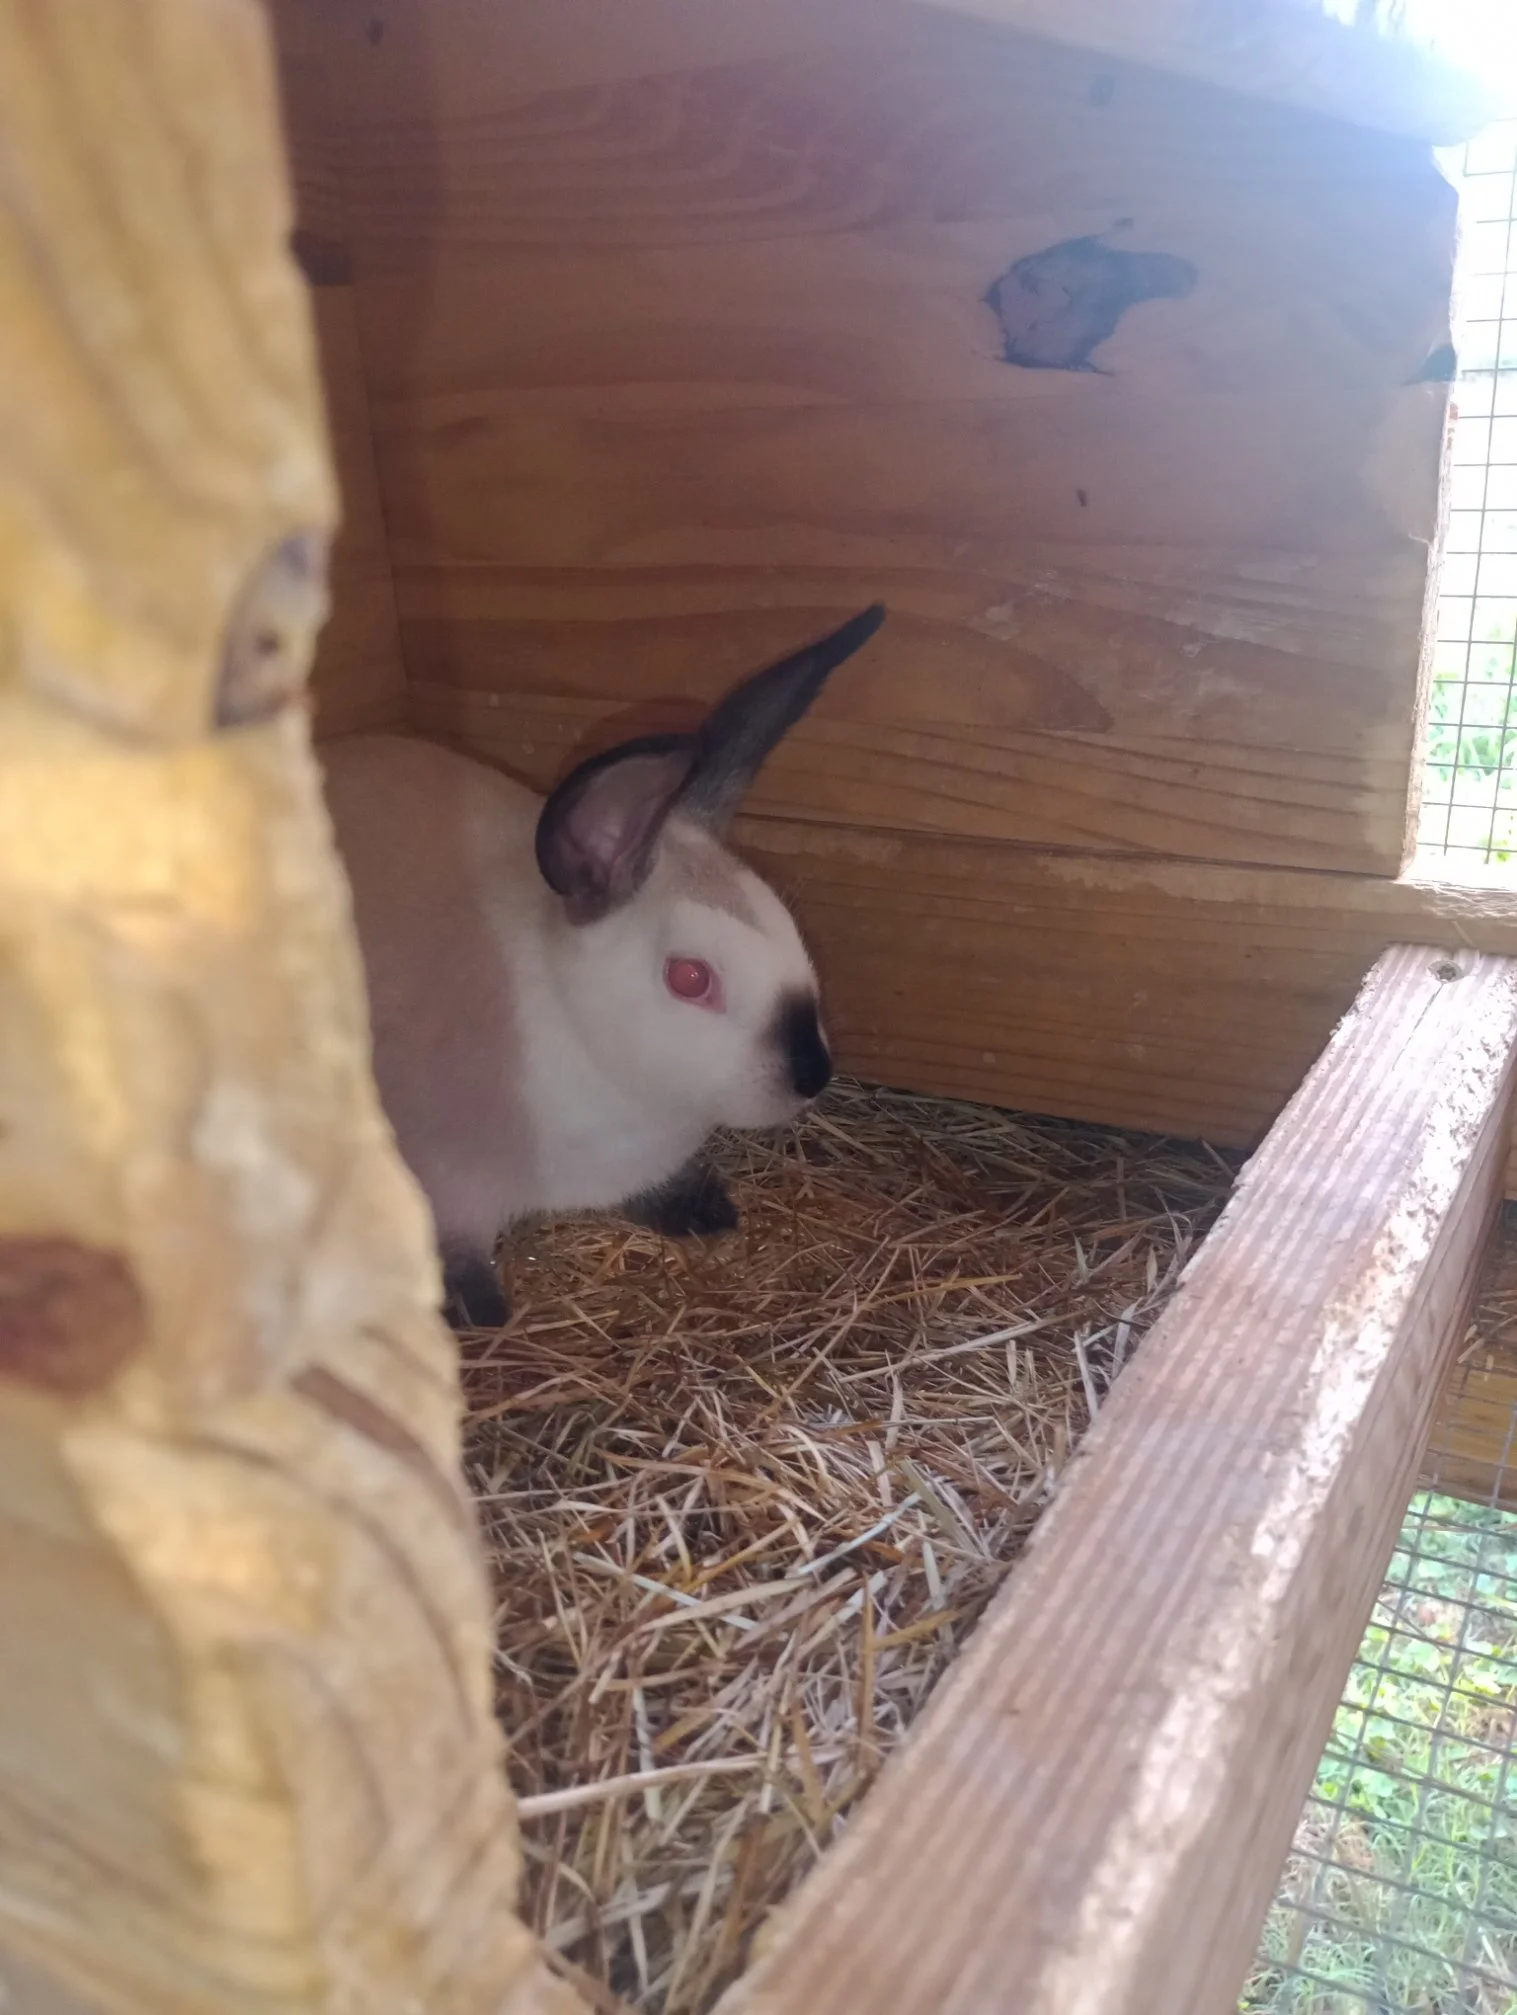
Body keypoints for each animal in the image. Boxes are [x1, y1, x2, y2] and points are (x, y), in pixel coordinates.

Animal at [321, 604, 886, 1328]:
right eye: (689, 978)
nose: (812, 1074)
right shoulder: (439, 1183)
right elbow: (455, 1253)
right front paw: (482, 1313)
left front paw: (705, 1211)